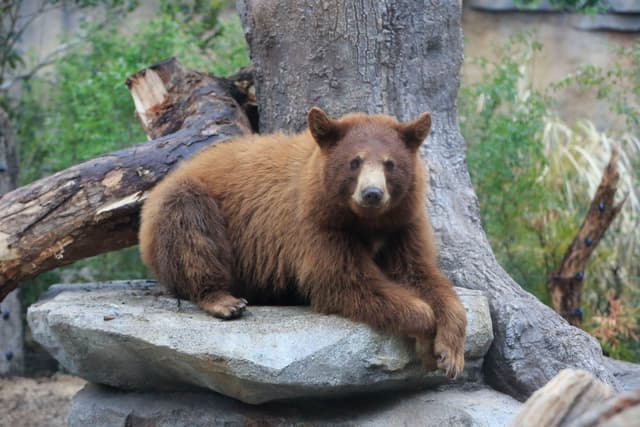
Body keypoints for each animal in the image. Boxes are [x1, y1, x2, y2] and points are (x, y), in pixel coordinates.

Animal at [138, 107, 467, 378]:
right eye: (355, 162)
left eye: (390, 164)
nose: (372, 193)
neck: (365, 221)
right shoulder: (315, 226)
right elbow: (345, 281)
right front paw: (426, 334)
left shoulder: (402, 224)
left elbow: (421, 274)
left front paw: (450, 352)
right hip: (188, 206)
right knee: (190, 229)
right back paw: (224, 300)